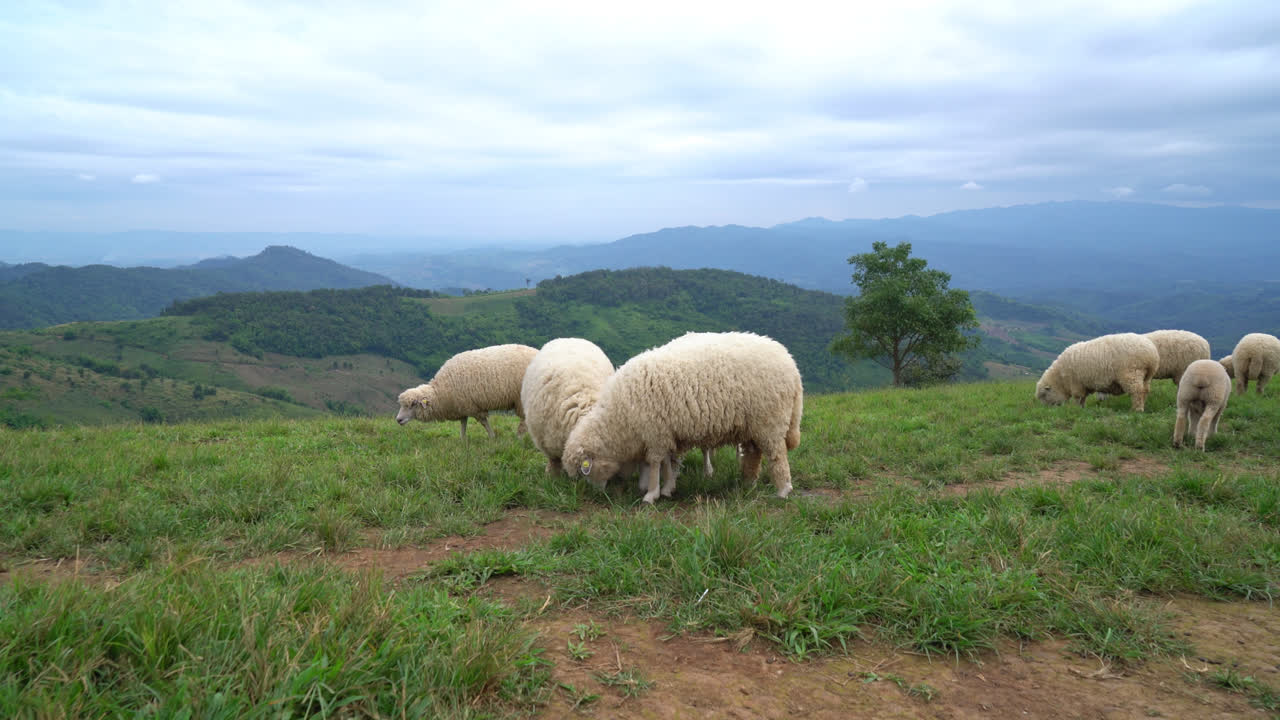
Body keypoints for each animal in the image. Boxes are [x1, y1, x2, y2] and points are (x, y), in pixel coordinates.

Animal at [395, 344, 539, 439]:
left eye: (413, 404)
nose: (398, 420)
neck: (440, 392)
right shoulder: (462, 407)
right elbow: (463, 424)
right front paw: (463, 440)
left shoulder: (473, 407)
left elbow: (484, 423)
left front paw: (492, 437)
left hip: (521, 398)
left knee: (524, 420)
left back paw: (518, 437)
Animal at [563, 331, 803, 503]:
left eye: (585, 472)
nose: (597, 495)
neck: (619, 416)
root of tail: (791, 363)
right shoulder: (666, 431)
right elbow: (668, 462)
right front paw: (668, 488)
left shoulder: (655, 431)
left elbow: (655, 463)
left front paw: (651, 494)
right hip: (753, 425)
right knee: (754, 454)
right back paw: (748, 483)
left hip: (770, 420)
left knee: (777, 455)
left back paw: (783, 490)